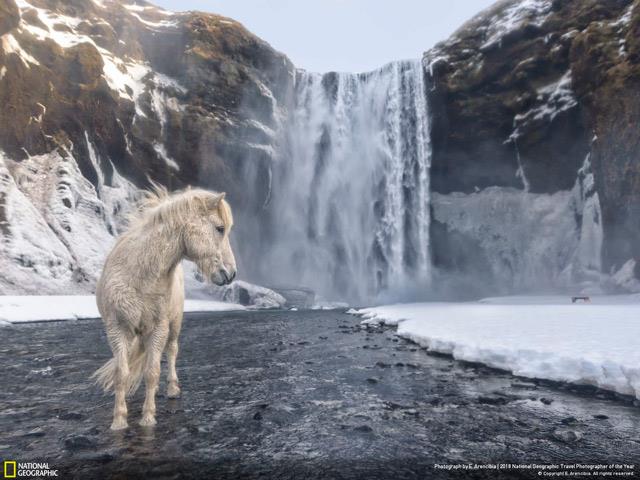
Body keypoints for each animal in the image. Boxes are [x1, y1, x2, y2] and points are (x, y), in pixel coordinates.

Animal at [91, 186, 236, 430]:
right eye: (220, 228)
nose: (231, 274)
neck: (140, 275)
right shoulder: (117, 329)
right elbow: (122, 372)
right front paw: (119, 420)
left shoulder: (158, 328)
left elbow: (152, 372)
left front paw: (148, 418)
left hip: (174, 325)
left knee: (172, 351)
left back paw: (172, 388)